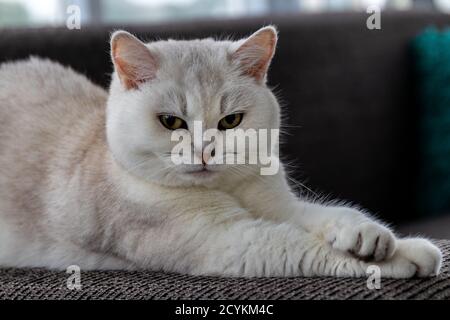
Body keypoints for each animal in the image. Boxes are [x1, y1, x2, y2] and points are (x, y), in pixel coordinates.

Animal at [0, 26, 442, 278]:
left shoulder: (279, 206)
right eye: (171, 122)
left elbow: (326, 215)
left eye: (231, 121)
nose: (205, 151)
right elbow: (301, 244)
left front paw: (369, 234)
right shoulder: (223, 240)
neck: (228, 190)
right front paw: (404, 256)